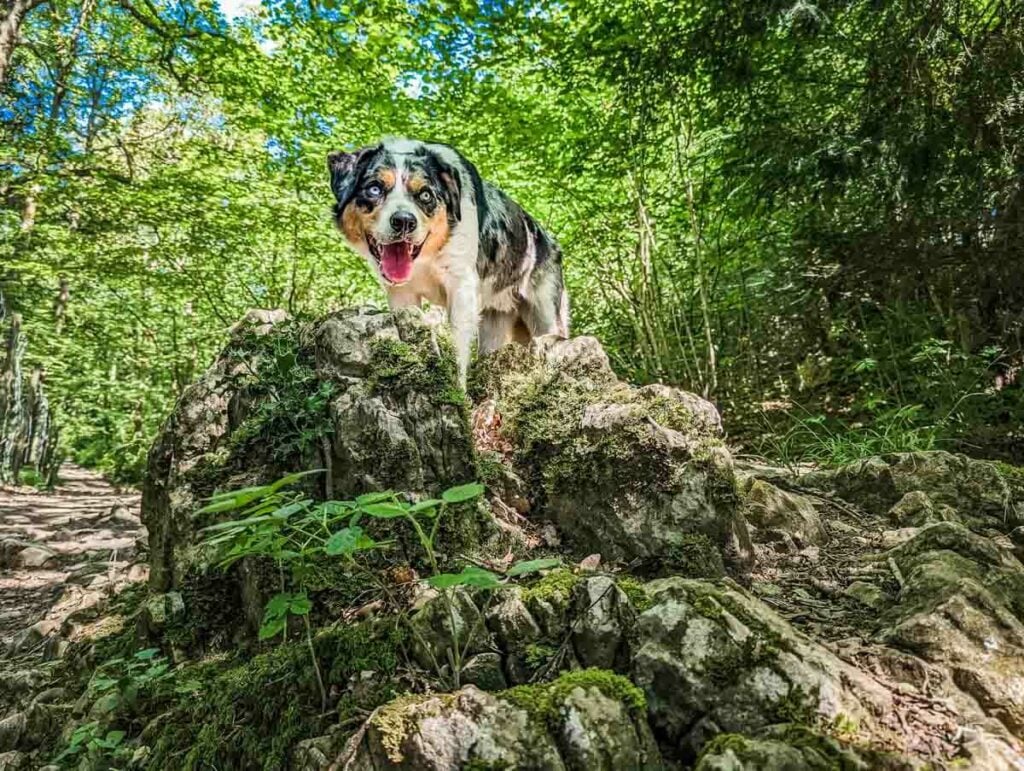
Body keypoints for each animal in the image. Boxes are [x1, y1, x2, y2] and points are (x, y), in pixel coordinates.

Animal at [325, 137, 569, 382]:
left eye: (425, 195)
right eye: (374, 189)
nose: (404, 221)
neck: (427, 256)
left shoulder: (461, 288)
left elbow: (458, 349)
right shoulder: (402, 294)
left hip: (544, 307)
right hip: (495, 321)